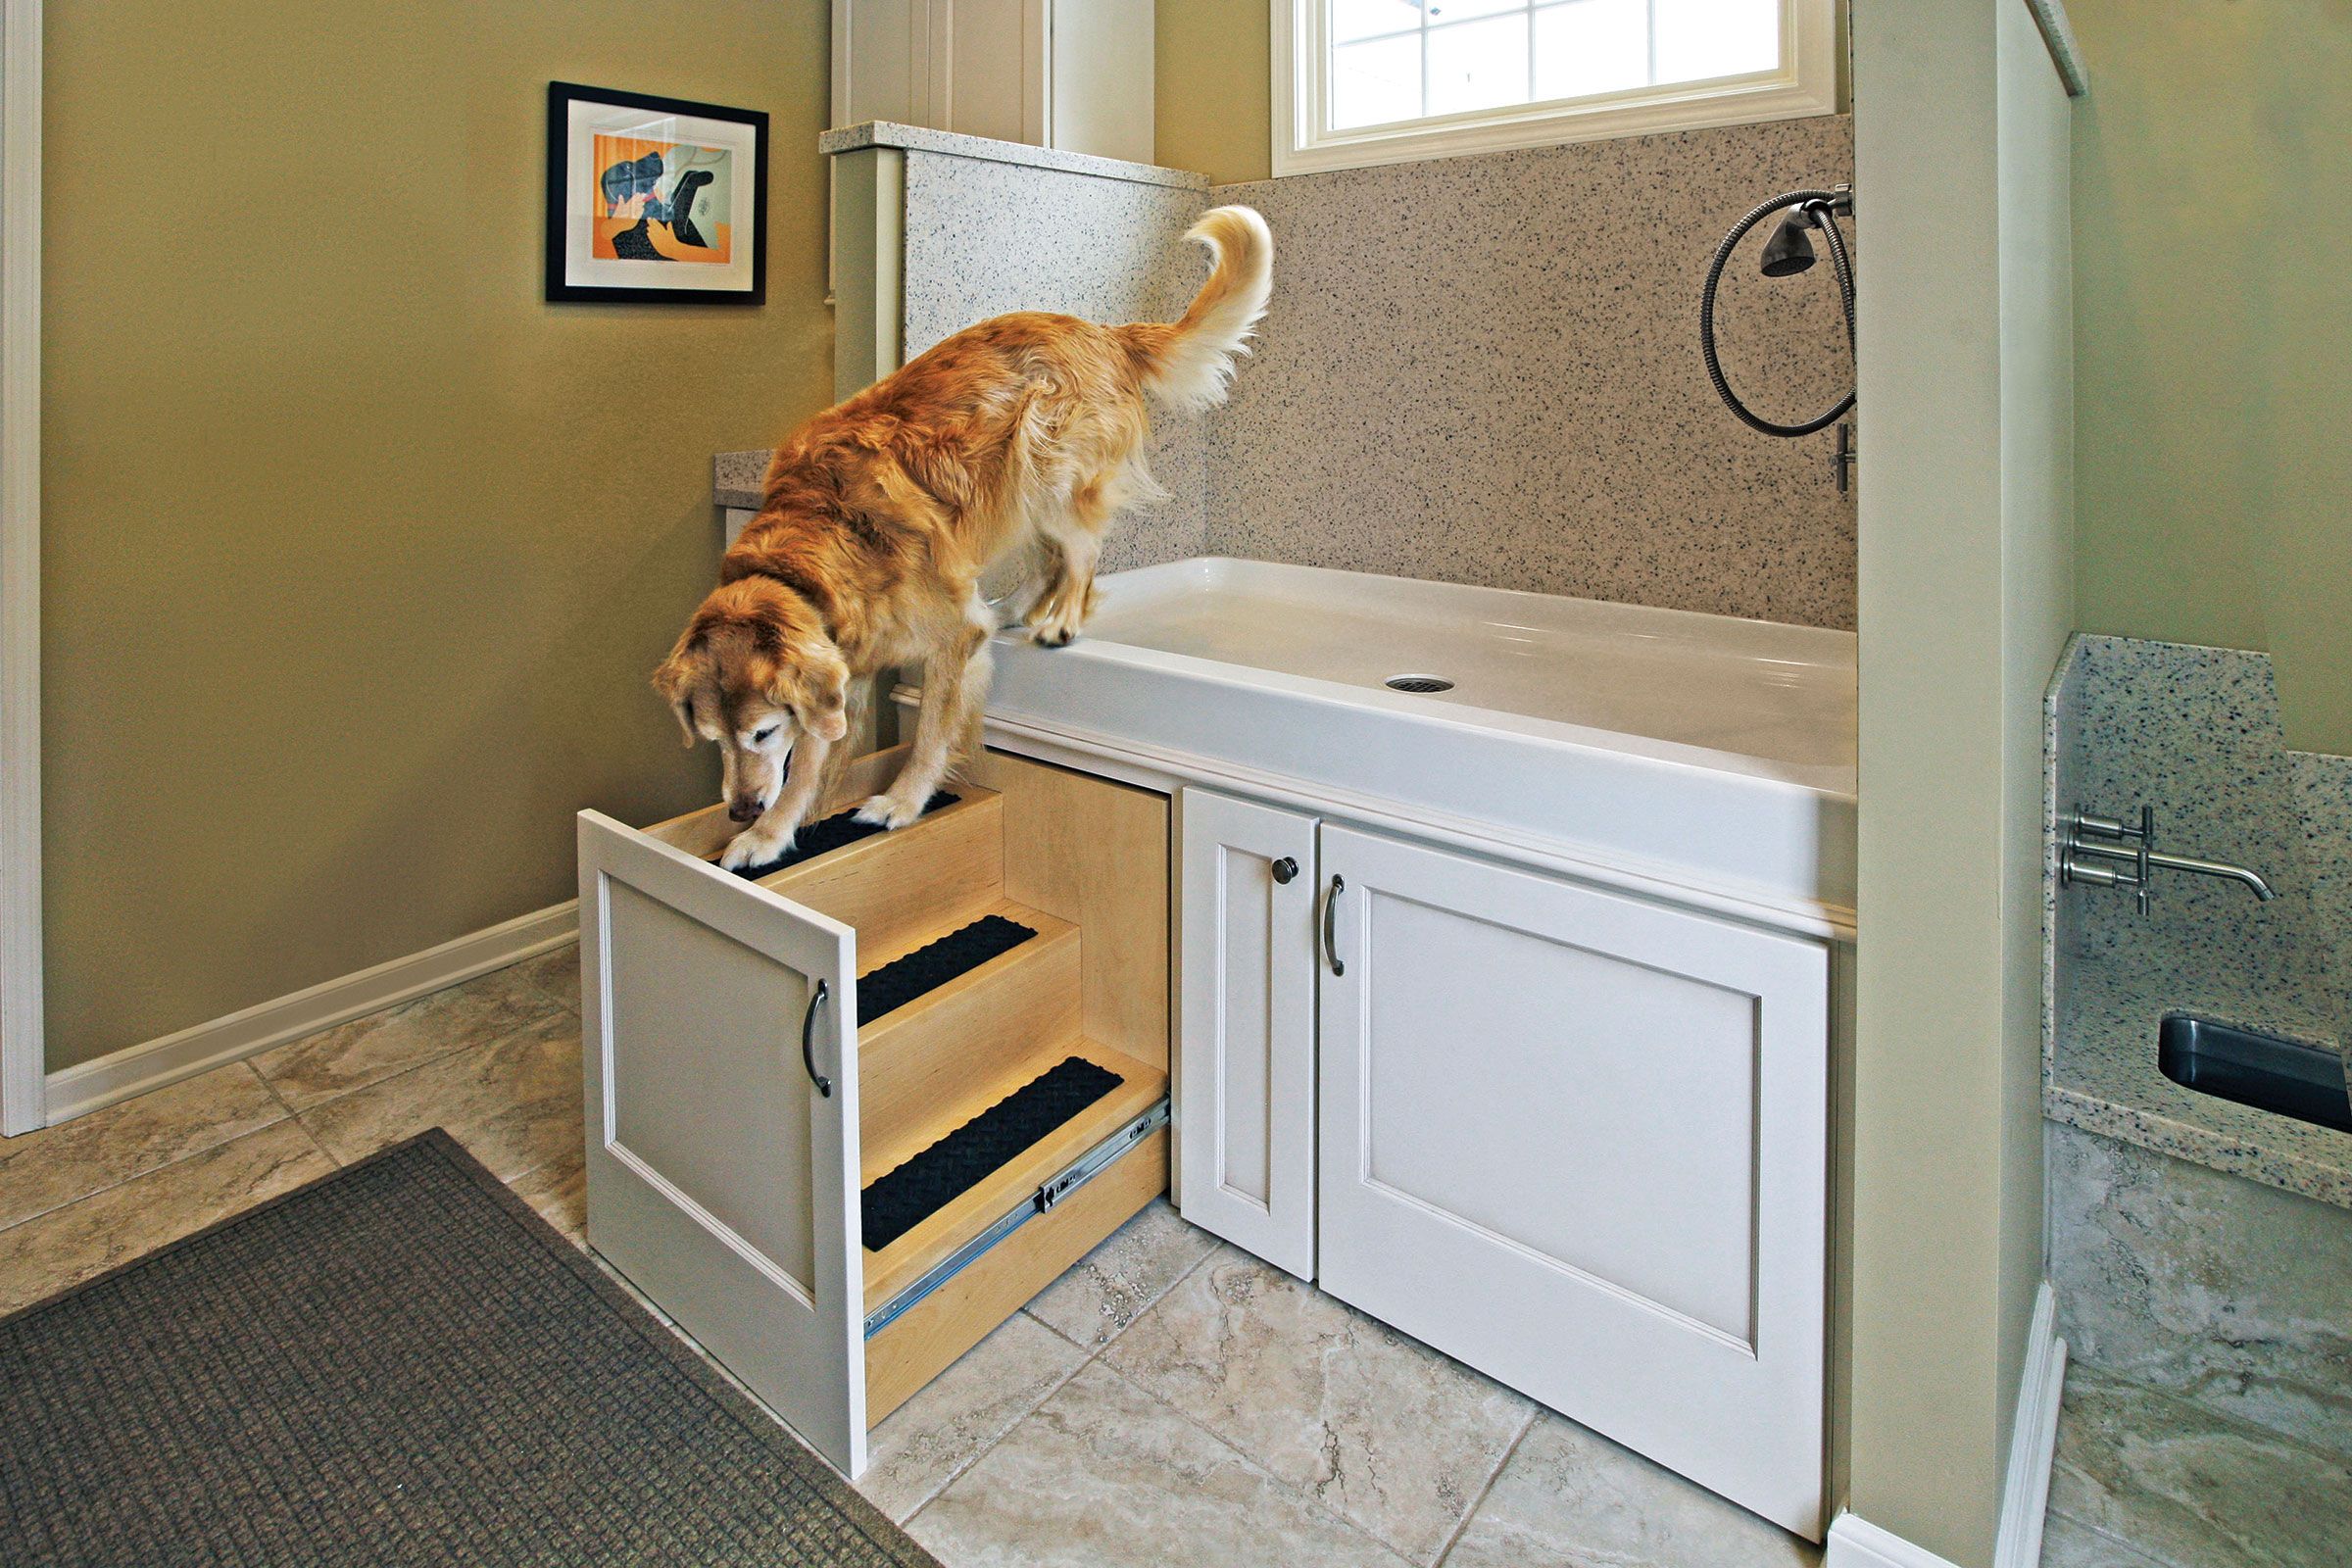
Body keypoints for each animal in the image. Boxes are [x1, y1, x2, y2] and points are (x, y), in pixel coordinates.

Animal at [654, 204, 1270, 869]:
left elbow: (928, 731)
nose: (741, 809)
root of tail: (1105, 331)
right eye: (713, 738)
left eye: (763, 732)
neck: (819, 541)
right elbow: (810, 762)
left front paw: (900, 802)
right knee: (1048, 561)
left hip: (1040, 456)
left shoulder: (950, 637)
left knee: (1080, 552)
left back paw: (1062, 620)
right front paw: (769, 835)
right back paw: (1018, 610)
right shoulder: (843, 665)